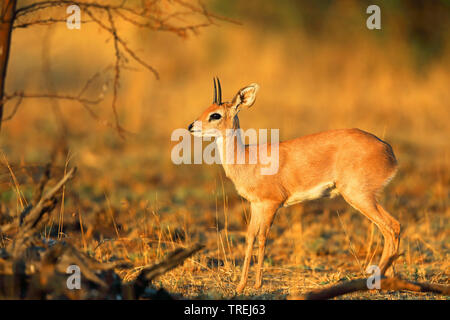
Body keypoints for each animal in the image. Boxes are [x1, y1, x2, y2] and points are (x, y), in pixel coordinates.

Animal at [187, 79, 400, 294]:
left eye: (215, 114)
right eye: (207, 109)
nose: (191, 126)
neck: (247, 159)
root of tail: (387, 149)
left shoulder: (271, 204)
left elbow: (263, 237)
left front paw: (257, 284)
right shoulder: (256, 205)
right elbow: (250, 237)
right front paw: (240, 286)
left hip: (359, 196)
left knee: (390, 227)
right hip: (366, 198)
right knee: (393, 227)